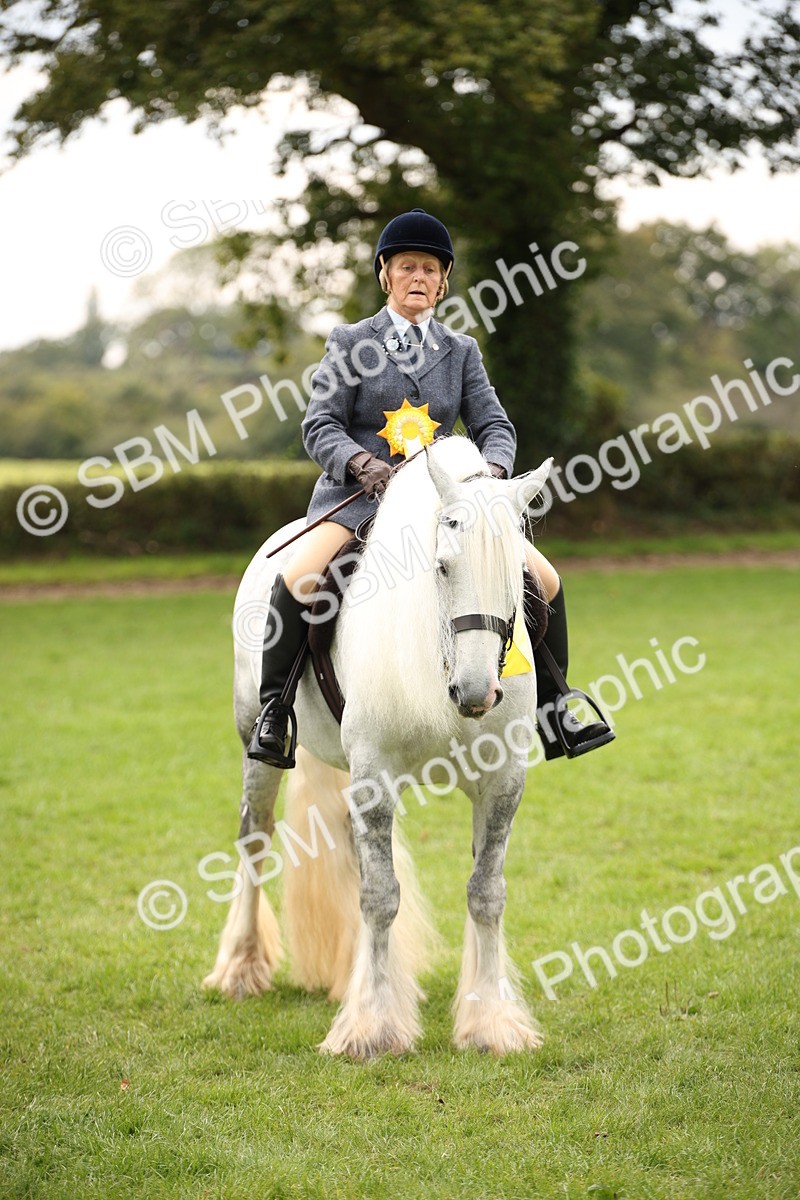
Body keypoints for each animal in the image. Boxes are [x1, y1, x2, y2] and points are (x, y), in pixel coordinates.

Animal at [203, 436, 552, 1058]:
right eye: (442, 566)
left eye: (517, 571)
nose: (475, 692)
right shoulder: (375, 777)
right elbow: (381, 896)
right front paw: (372, 1028)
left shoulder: (502, 780)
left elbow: (486, 891)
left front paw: (490, 1023)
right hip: (257, 747)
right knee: (255, 837)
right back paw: (241, 968)